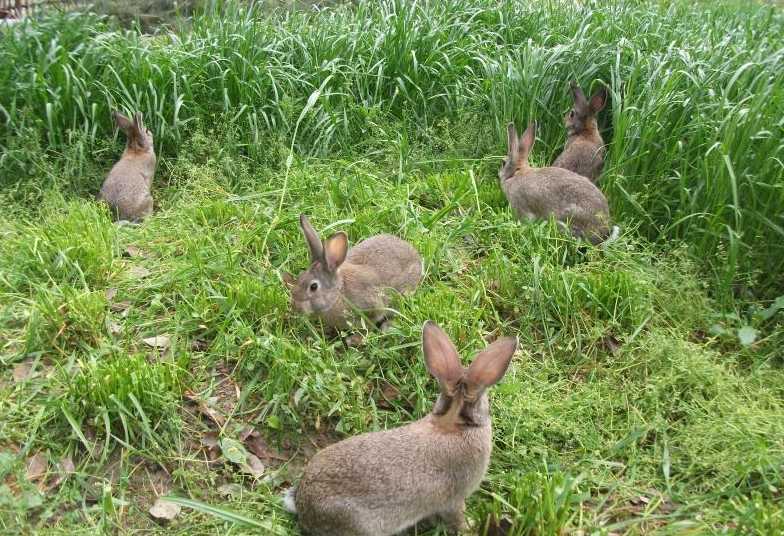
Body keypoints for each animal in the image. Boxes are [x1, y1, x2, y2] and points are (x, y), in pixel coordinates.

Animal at [282, 216, 422, 332]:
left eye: (313, 287)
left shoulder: (372, 305)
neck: (338, 294)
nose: (296, 307)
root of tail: (416, 256)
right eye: (300, 278)